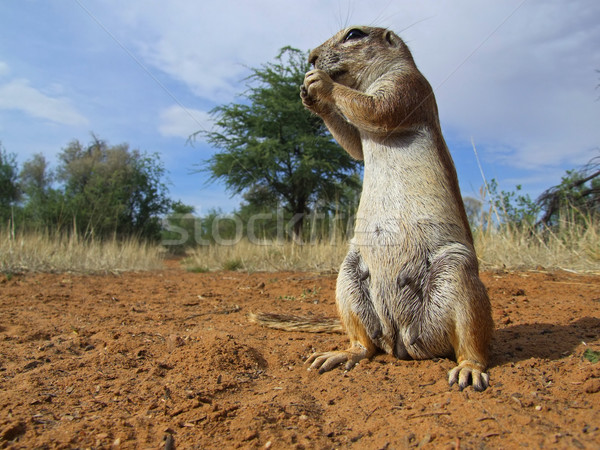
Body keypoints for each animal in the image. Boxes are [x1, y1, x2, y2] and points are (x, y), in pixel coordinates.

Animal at [253, 26, 492, 390]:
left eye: (354, 34)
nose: (310, 57)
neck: (367, 79)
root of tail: (403, 341)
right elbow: (354, 144)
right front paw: (309, 95)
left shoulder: (407, 85)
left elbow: (377, 108)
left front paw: (321, 84)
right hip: (348, 278)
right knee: (366, 345)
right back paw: (342, 354)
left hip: (457, 272)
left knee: (469, 340)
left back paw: (470, 368)